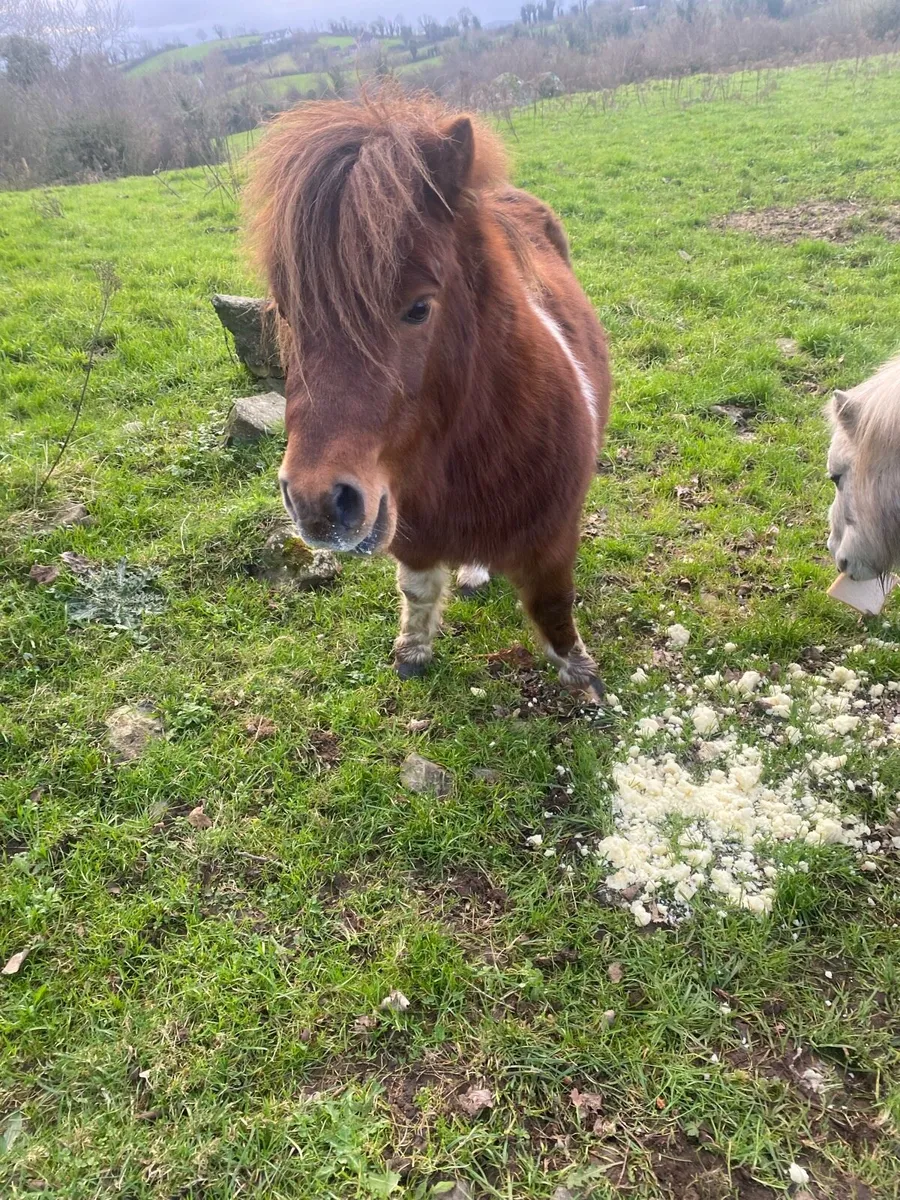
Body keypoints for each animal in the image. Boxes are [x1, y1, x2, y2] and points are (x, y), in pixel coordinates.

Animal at [246, 91, 611, 697]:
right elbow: (417, 593)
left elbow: (554, 606)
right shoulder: (412, 538)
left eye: (419, 308)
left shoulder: (553, 542)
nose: (318, 504)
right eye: (287, 311)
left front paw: (580, 674)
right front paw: (412, 653)